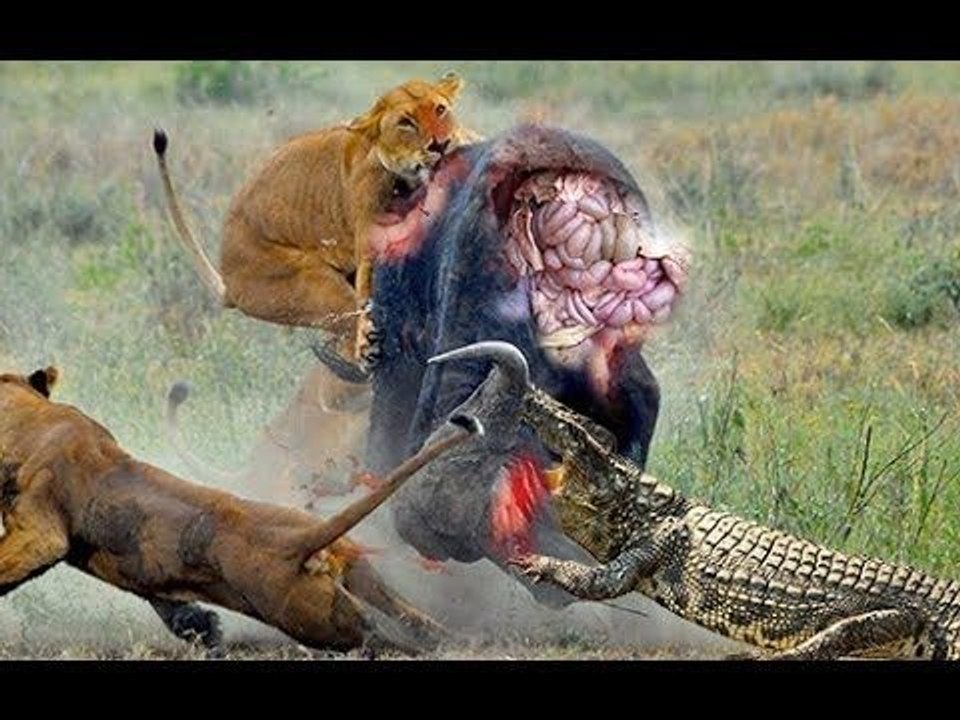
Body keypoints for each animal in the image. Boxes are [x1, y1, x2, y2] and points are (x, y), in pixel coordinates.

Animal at [0, 364, 477, 655]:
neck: (30, 418)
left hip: (317, 620)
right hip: (366, 581)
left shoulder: (43, 532)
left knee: (381, 637)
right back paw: (462, 640)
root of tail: (300, 540)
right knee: (417, 620)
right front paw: (204, 628)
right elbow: (167, 603)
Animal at [154, 72, 476, 363]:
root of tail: (228, 283)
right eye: (405, 123)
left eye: (440, 109)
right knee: (349, 328)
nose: (441, 144)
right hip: (310, 284)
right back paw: (365, 352)